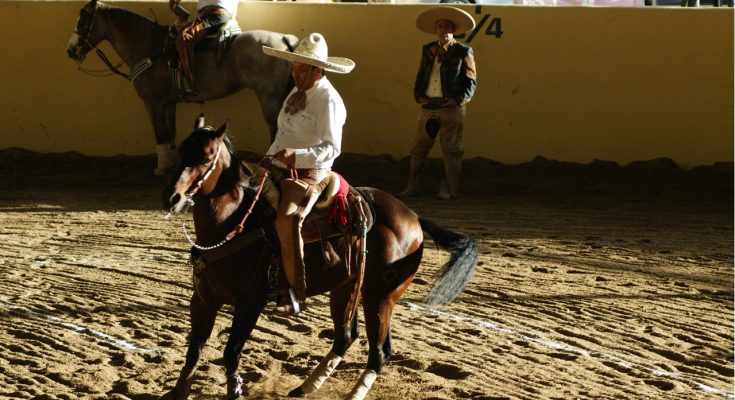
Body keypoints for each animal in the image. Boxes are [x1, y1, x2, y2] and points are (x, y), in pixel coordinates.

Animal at [67, 0, 298, 175]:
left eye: (83, 21)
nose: (70, 50)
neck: (150, 48)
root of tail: (283, 38)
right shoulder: (169, 103)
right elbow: (170, 132)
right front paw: (171, 164)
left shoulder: (153, 103)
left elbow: (160, 133)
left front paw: (160, 169)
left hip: (269, 98)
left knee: (275, 129)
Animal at [162, 115, 480, 396]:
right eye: (180, 151)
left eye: (206, 157)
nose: (172, 197)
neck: (234, 224)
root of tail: (413, 217)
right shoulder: (203, 299)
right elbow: (194, 352)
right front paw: (179, 391)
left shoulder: (249, 304)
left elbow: (230, 354)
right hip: (346, 289)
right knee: (346, 337)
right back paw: (304, 388)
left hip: (380, 296)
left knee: (379, 352)